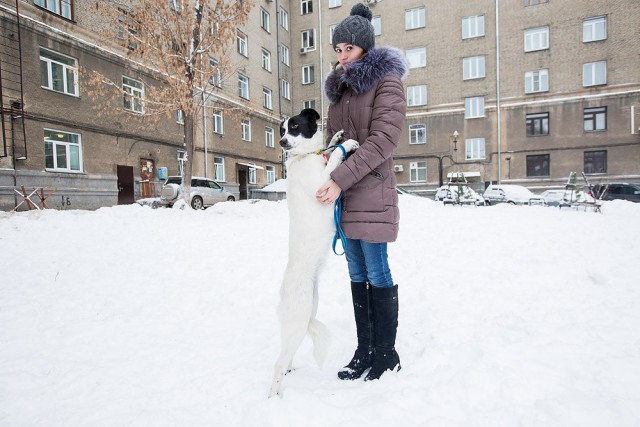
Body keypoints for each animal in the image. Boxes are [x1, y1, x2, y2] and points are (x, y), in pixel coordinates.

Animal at [268, 108, 360, 398]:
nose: (282, 143)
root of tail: (281, 298)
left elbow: (330, 149)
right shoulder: (323, 185)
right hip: (298, 321)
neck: (305, 157)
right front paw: (346, 144)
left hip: (308, 312)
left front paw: (337, 136)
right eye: (282, 130)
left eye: (294, 126)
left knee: (287, 356)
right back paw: (274, 397)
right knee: (278, 363)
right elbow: (336, 161)